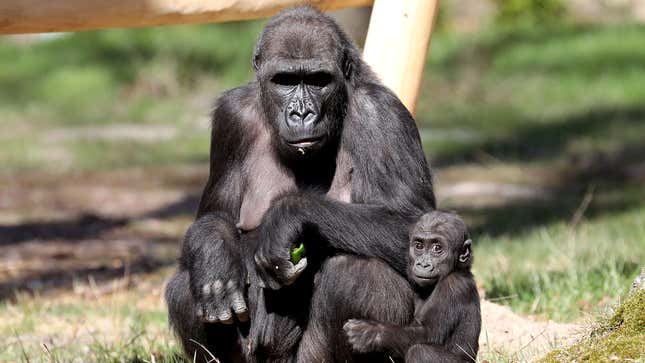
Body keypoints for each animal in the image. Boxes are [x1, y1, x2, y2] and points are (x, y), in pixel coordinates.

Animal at [166, 6, 436, 363]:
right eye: (286, 81)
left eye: (319, 80)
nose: (302, 113)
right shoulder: (232, 117)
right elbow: (213, 217)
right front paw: (214, 256)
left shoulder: (382, 113)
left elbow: (415, 225)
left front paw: (287, 215)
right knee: (185, 285)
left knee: (359, 273)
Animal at [344, 212, 480, 362]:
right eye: (419, 246)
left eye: (437, 248)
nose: (423, 264)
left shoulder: (454, 286)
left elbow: (428, 333)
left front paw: (370, 333)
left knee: (420, 352)